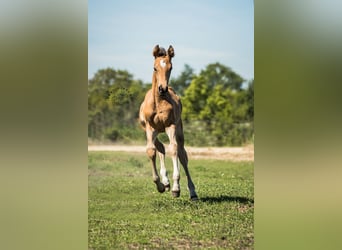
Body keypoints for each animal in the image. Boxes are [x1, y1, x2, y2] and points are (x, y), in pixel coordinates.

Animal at [139, 45, 198, 201]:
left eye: (171, 67)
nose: (162, 88)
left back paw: (192, 192)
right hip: (153, 130)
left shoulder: (170, 126)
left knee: (182, 155)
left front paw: (176, 188)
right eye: (154, 68)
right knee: (160, 148)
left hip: (178, 130)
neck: (158, 102)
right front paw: (160, 185)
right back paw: (165, 182)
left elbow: (174, 149)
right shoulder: (150, 128)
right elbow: (151, 150)